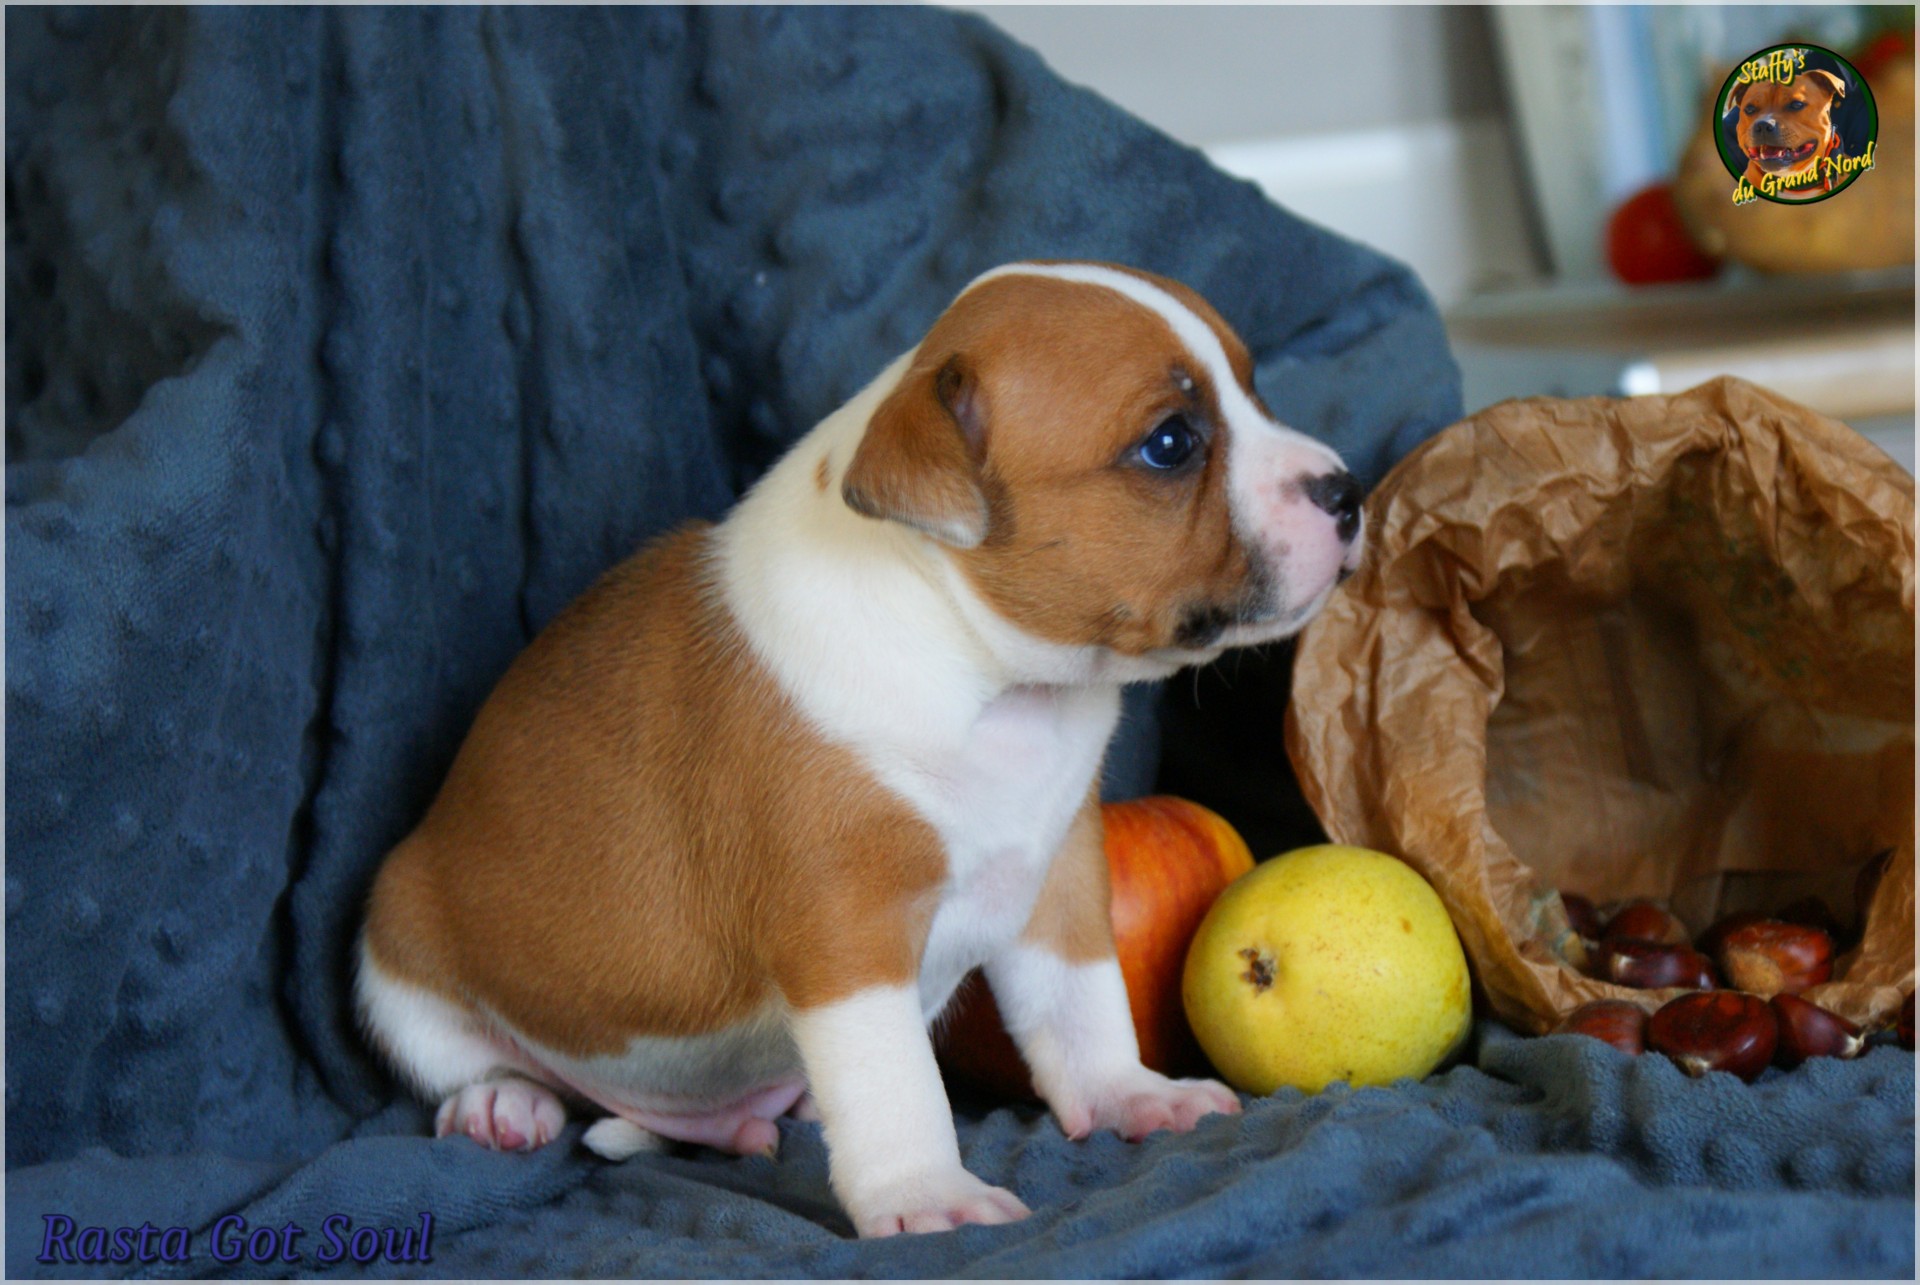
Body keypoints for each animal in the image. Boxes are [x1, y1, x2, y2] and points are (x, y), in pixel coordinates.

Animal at [357, 257, 1367, 1229]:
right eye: (1170, 443)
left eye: (1253, 387)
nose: (1348, 490)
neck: (995, 681)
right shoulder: (848, 936)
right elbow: (897, 1084)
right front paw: (924, 1192)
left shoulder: (1059, 881)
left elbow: (1084, 1008)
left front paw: (1130, 1093)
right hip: (396, 948)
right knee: (462, 1057)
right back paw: (503, 1102)